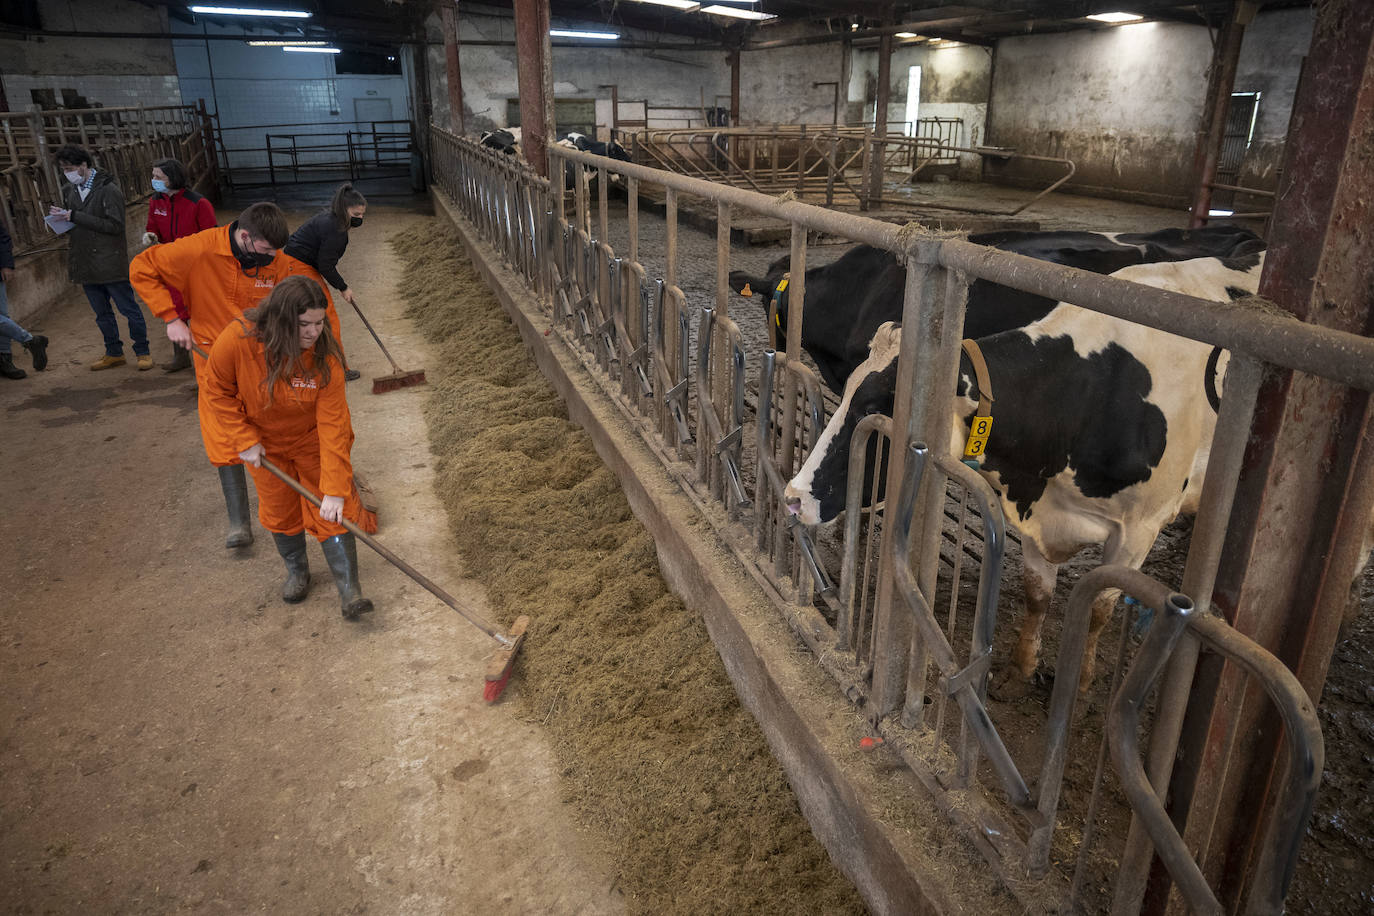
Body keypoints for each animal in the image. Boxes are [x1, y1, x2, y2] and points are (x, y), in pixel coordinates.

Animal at [785, 254, 1264, 692]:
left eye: (875, 408)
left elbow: (1100, 606)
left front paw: (1082, 680)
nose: (793, 496)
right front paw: (1024, 666)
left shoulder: (1140, 527)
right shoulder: (1036, 508)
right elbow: (1038, 593)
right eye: (846, 390)